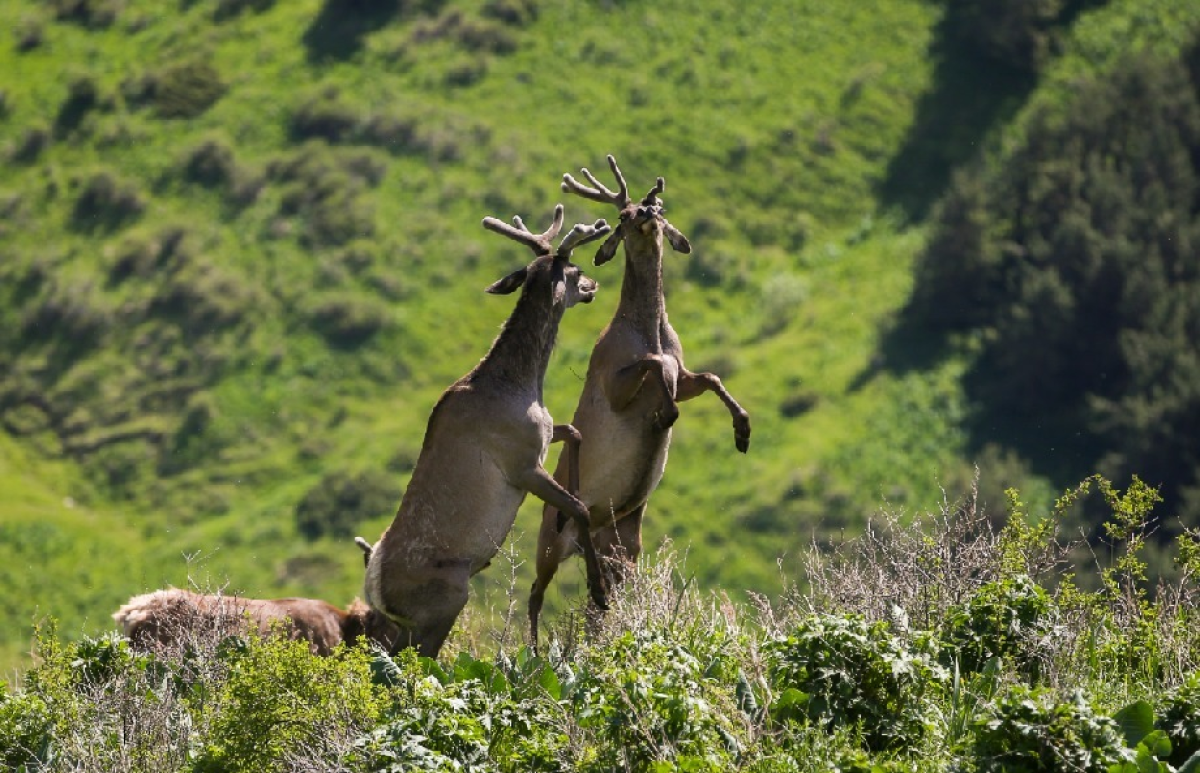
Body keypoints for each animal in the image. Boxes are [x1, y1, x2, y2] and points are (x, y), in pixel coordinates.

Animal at [360, 205, 609, 657]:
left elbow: (576, 433)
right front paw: (599, 591)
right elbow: (579, 507)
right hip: (448, 598)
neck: (521, 385)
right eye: (576, 269)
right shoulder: (521, 463)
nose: (593, 285)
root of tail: (375, 593)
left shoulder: (542, 438)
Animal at [528, 156, 748, 648]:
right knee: (535, 592)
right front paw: (666, 415)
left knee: (601, 592)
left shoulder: (684, 372)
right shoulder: (613, 382)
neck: (647, 330)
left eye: (658, 206)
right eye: (623, 216)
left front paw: (743, 432)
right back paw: (531, 650)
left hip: (622, 539)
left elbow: (709, 376)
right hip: (550, 534)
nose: (645, 213)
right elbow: (655, 366)